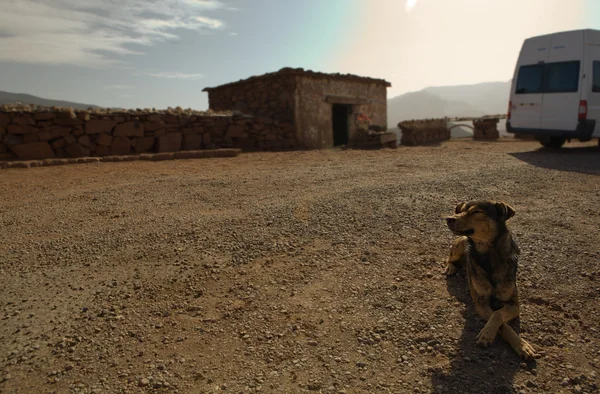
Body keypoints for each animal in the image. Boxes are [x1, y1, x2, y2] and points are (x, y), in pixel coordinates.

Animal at [442, 202, 536, 358]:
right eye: (460, 210)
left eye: (476, 212)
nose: (449, 218)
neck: (488, 255)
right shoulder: (481, 303)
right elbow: (500, 321)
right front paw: (487, 335)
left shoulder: (514, 304)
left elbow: (498, 314)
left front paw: (521, 345)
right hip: (460, 244)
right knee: (450, 258)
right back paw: (450, 267)